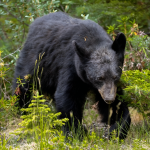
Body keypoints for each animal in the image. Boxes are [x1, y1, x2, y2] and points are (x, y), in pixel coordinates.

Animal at [13, 11, 131, 139]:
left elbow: (117, 105)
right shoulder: (70, 65)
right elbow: (68, 96)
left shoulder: (108, 87)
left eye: (115, 76)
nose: (109, 99)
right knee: (23, 86)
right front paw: (75, 132)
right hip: (35, 63)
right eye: (99, 78)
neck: (93, 40)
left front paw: (116, 129)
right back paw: (23, 110)